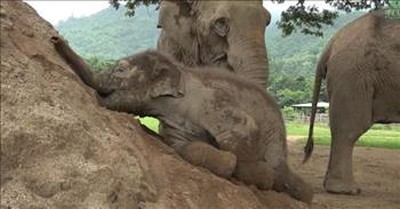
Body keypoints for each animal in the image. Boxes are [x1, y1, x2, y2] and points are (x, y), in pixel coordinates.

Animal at [50, 36, 312, 203]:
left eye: (120, 70)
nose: (55, 39)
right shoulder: (172, 123)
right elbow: (187, 149)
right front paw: (225, 160)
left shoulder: (212, 100)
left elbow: (243, 130)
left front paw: (252, 173)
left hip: (275, 142)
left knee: (287, 178)